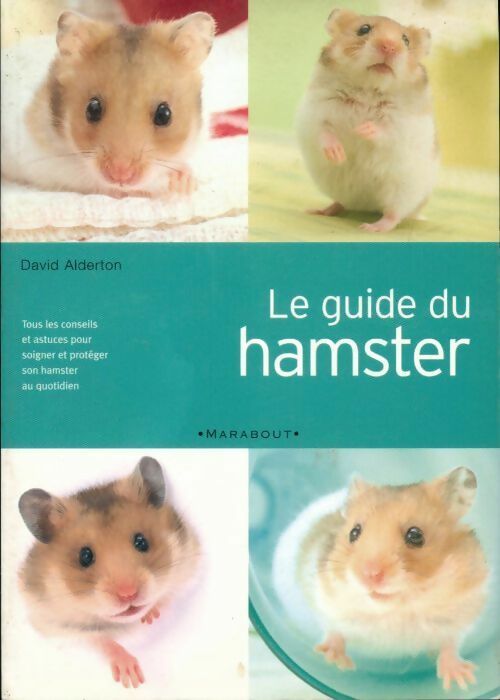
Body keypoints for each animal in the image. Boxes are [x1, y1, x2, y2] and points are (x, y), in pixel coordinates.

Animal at [18, 456, 200, 689]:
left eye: (142, 541)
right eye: (85, 556)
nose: (128, 594)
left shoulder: (189, 564)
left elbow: (166, 597)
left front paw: (149, 618)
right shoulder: (56, 626)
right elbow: (100, 640)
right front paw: (133, 680)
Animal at [273, 468, 488, 691]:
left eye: (415, 535)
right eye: (354, 532)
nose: (370, 575)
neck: (396, 610)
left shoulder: (462, 612)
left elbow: (450, 644)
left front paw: (463, 680)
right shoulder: (327, 600)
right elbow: (334, 629)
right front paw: (333, 660)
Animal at [297, 9, 438, 232]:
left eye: (405, 40)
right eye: (364, 29)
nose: (389, 46)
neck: (369, 88)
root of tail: (367, 205)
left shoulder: (403, 125)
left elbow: (385, 130)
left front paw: (361, 129)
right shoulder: (315, 112)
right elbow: (324, 132)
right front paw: (338, 154)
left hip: (402, 190)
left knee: (393, 215)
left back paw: (371, 227)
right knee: (341, 203)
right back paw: (320, 210)